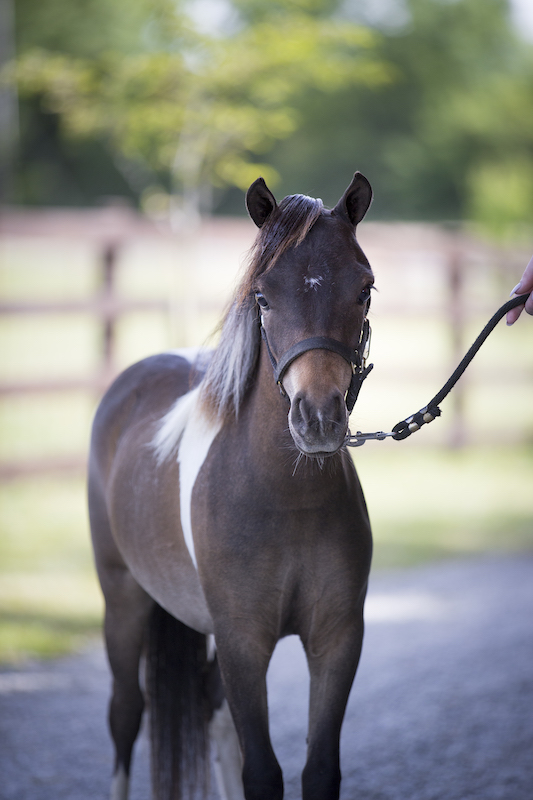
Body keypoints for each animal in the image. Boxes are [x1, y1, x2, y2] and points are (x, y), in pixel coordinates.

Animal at [88, 171, 375, 800]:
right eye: (263, 297)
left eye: (364, 290)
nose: (319, 419)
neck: (287, 500)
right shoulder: (243, 642)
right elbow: (261, 772)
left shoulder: (337, 639)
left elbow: (318, 769)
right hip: (122, 599)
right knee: (124, 714)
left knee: (211, 713)